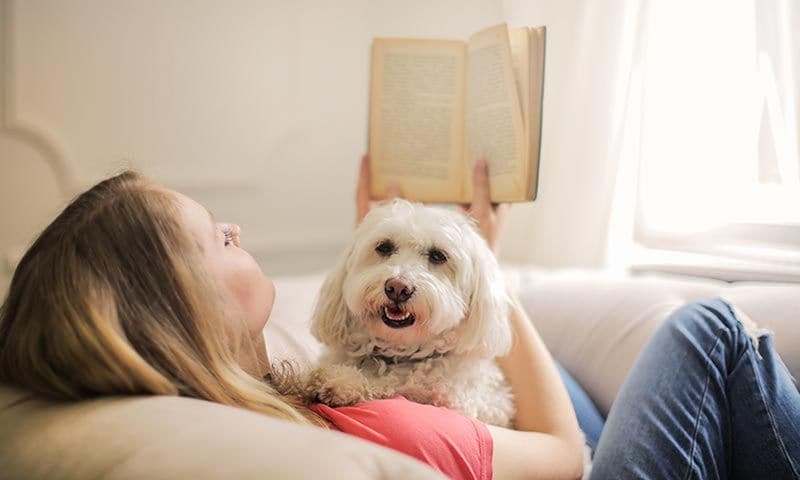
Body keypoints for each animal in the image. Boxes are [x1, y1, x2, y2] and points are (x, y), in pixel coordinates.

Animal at [294, 199, 512, 428]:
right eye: (384, 247)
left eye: (438, 255)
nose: (397, 288)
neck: (400, 353)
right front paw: (339, 379)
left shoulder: (460, 400)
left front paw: (347, 383)